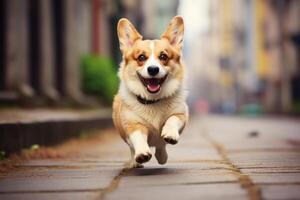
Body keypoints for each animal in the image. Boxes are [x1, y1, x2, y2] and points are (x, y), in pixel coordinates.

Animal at [112, 16, 188, 168]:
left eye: (163, 56)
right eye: (141, 57)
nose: (153, 69)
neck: (153, 100)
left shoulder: (181, 114)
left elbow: (172, 119)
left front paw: (170, 134)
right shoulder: (133, 125)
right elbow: (138, 137)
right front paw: (141, 154)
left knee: (160, 145)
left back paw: (162, 156)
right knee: (132, 147)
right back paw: (135, 162)